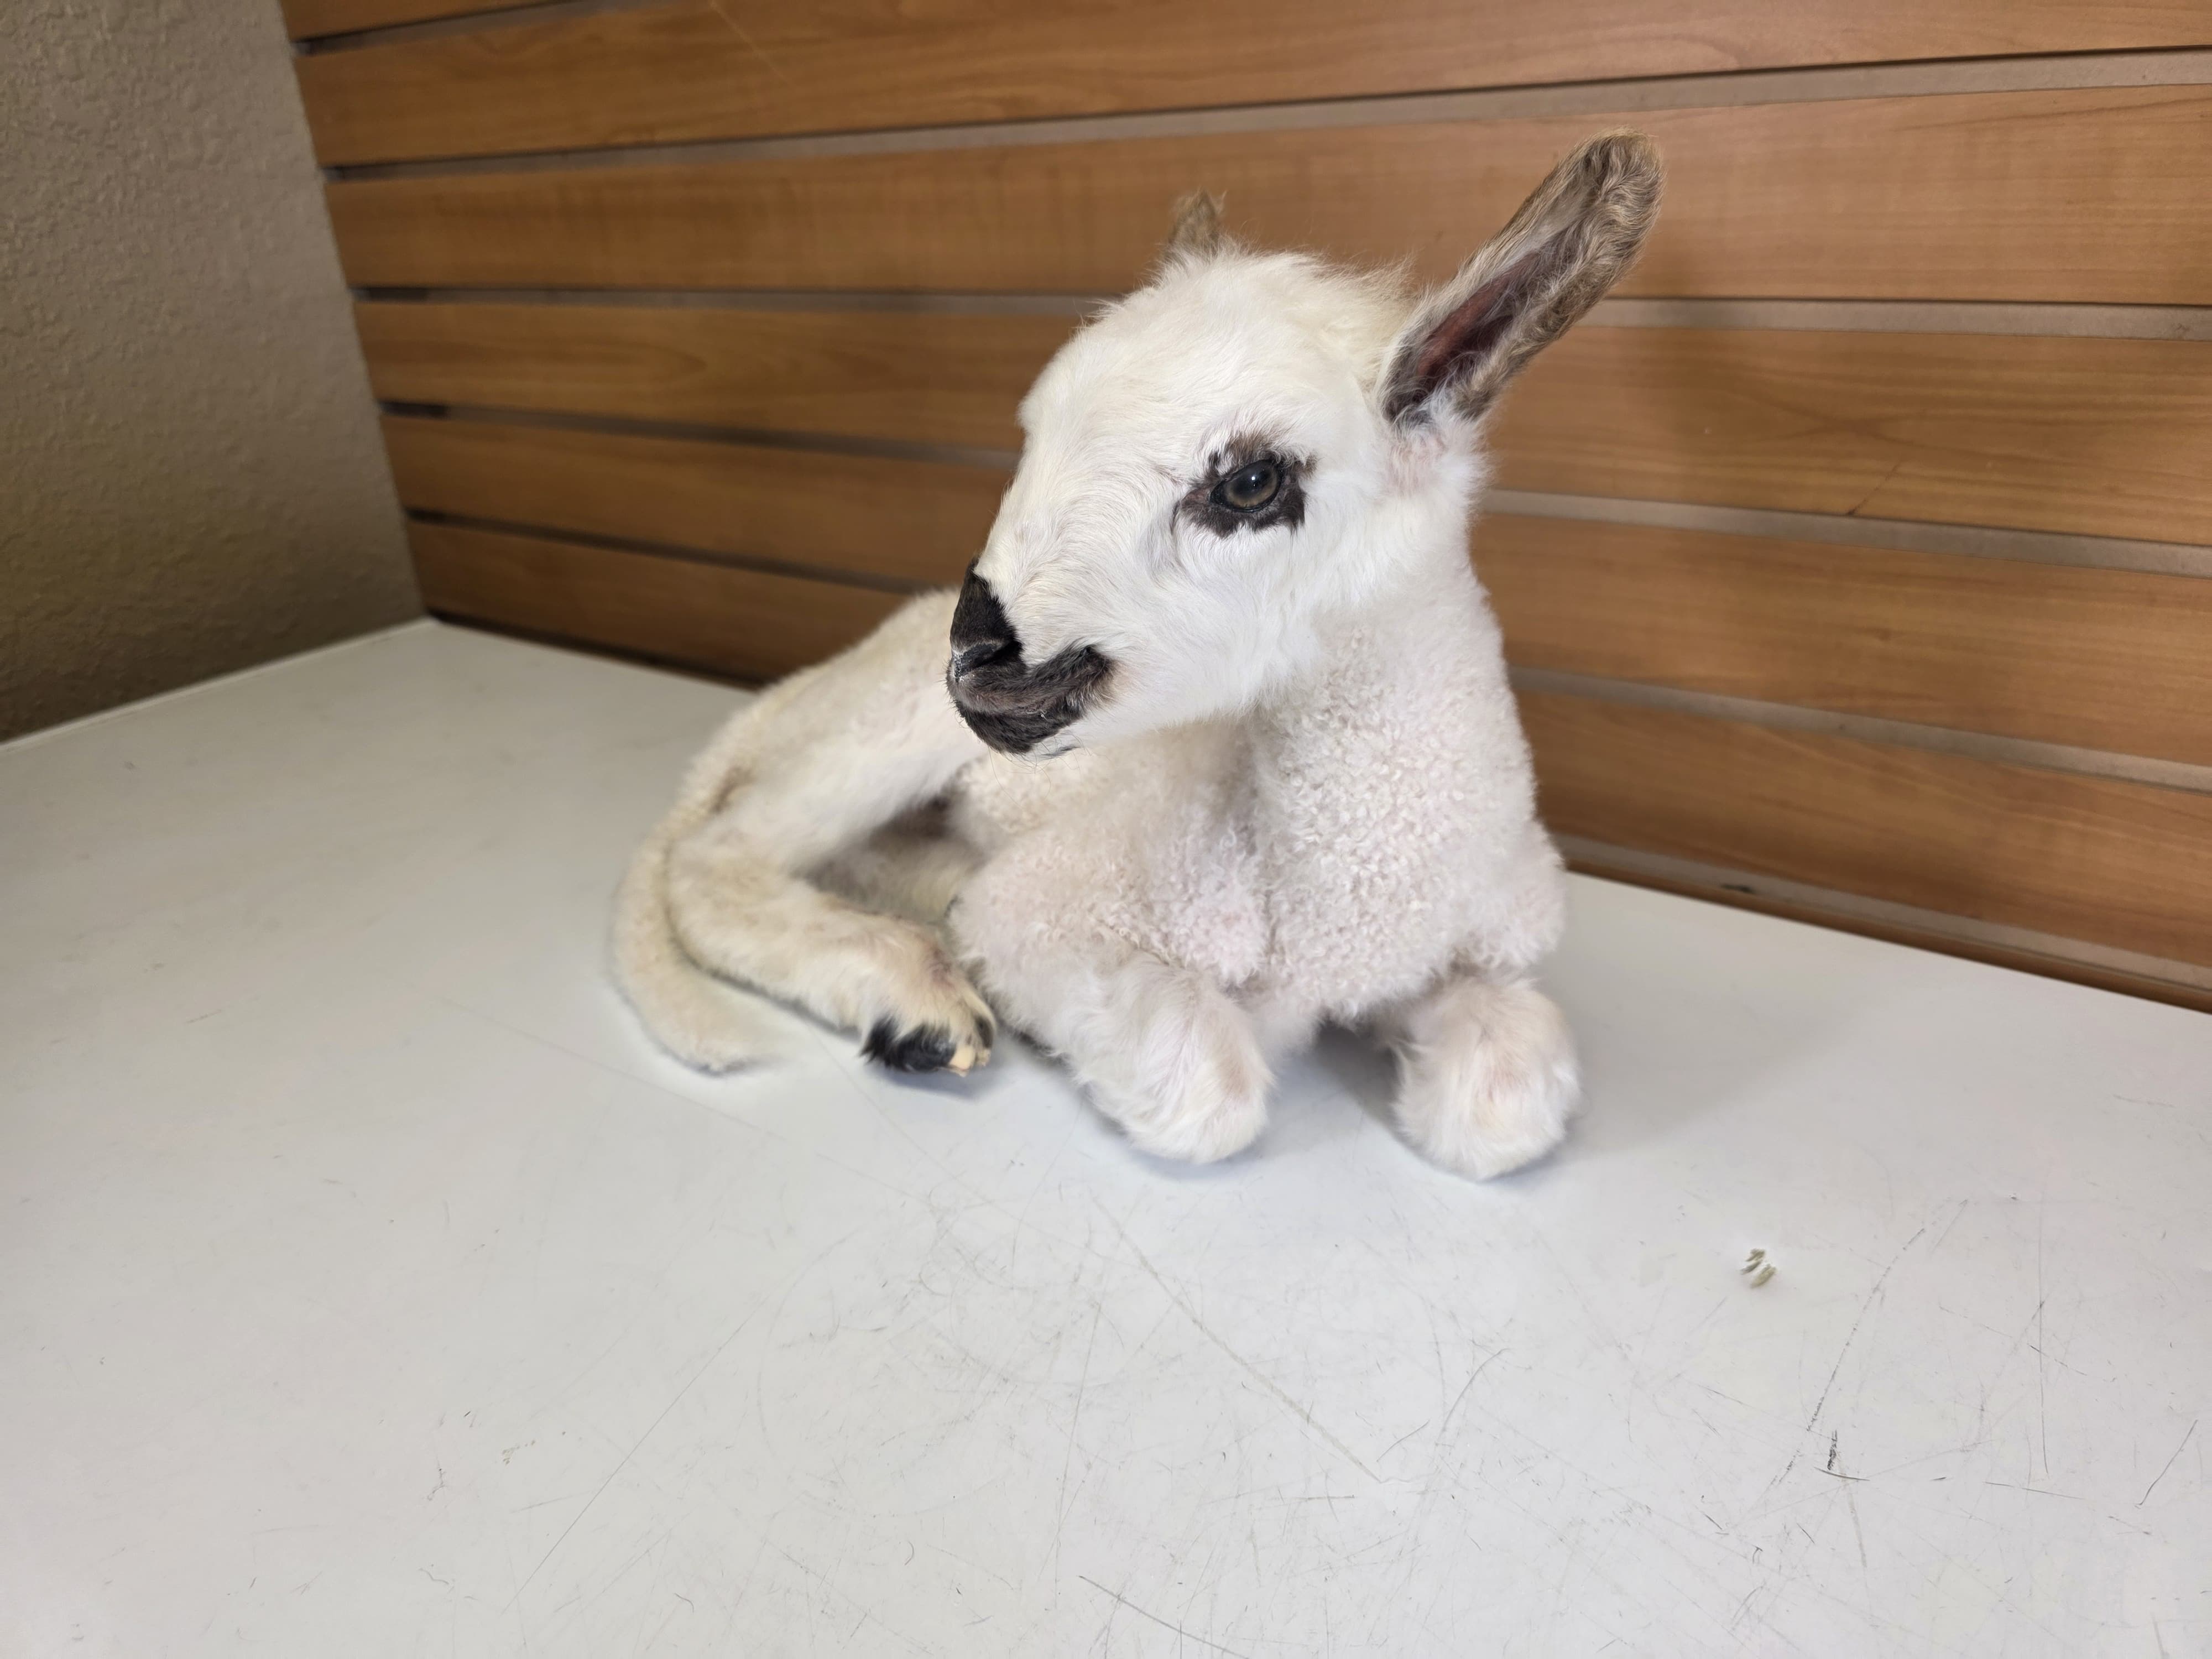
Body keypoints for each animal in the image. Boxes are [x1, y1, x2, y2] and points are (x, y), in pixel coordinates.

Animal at [613, 132, 1662, 1178]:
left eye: (1251, 481)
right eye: (1034, 436)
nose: (982, 657)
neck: (1341, 907)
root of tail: (807, 685)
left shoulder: (1495, 946)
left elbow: (1504, 1105)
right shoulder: (1047, 909)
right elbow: (1212, 1092)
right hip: (881, 733)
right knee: (716, 857)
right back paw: (916, 1004)